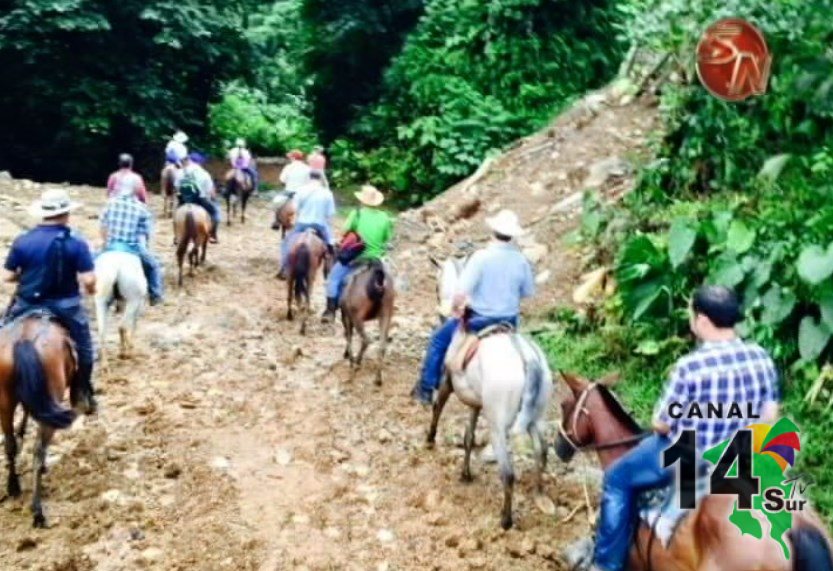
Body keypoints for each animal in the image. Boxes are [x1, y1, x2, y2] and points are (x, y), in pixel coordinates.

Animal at [0, 312, 79, 528]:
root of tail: (23, 340)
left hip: (5, 402)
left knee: (10, 444)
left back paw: (13, 486)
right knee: (38, 450)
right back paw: (38, 511)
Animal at [422, 256, 552, 532]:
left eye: (436, 285)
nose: (441, 312)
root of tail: (527, 357)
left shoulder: (447, 381)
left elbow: (438, 408)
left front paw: (430, 438)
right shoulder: (475, 403)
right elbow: (469, 436)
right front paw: (465, 474)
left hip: (498, 426)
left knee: (509, 473)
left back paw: (506, 520)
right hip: (536, 418)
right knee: (542, 450)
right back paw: (539, 493)